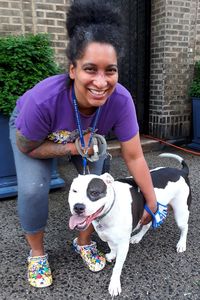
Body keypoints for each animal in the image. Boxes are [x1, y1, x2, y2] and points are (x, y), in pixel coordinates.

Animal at [68, 154, 191, 296]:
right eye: (74, 191)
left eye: (94, 193)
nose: (78, 207)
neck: (111, 208)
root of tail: (181, 172)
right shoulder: (109, 236)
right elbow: (112, 246)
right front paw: (112, 254)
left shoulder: (123, 245)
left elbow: (117, 268)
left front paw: (114, 285)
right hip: (150, 210)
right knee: (146, 225)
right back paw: (137, 237)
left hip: (181, 213)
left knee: (184, 227)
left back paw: (181, 244)